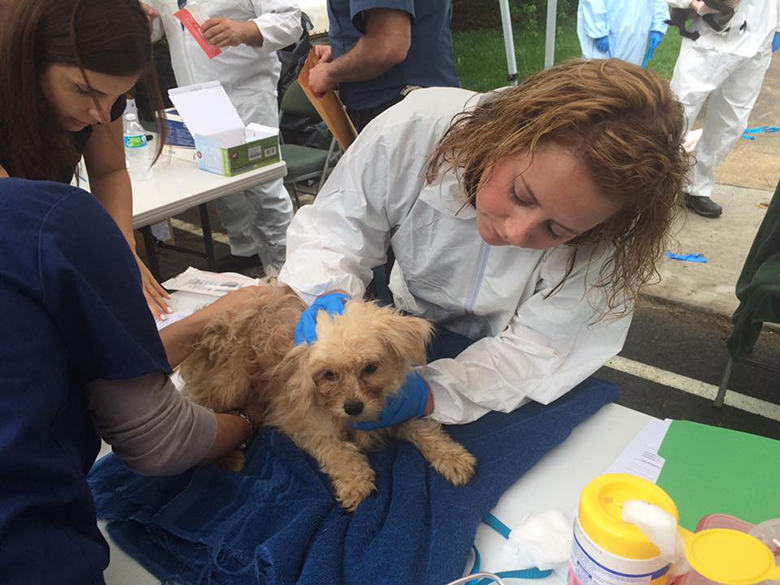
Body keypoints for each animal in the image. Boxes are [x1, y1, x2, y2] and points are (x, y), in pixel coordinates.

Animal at [181, 286, 478, 508]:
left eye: (371, 367)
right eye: (328, 374)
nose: (353, 407)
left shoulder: (394, 412)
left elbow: (424, 429)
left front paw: (453, 457)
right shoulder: (303, 425)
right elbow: (338, 451)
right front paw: (355, 481)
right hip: (230, 383)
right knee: (207, 412)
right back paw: (227, 456)